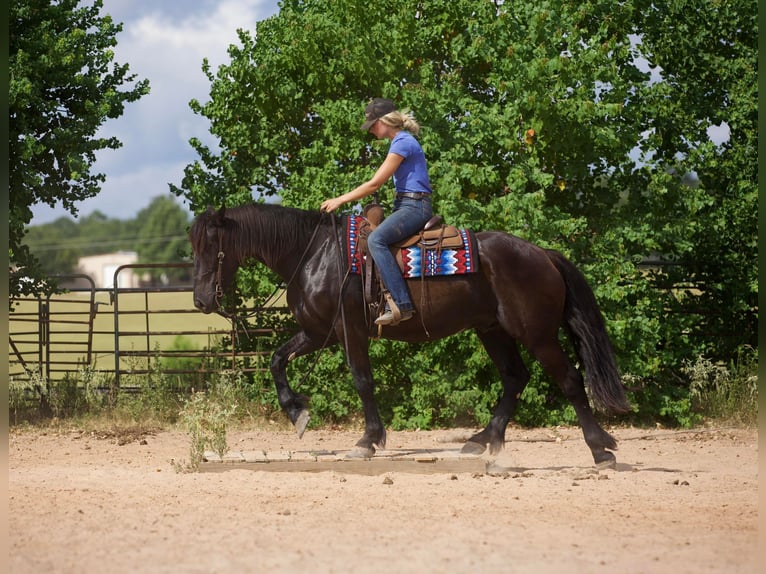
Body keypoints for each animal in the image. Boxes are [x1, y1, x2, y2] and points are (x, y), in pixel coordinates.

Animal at [192, 202, 632, 468]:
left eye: (211, 246)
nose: (200, 299)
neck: (314, 254)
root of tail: (543, 254)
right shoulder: (319, 332)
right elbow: (277, 359)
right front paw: (297, 412)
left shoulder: (349, 331)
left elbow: (362, 380)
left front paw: (368, 440)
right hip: (492, 330)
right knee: (514, 378)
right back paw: (482, 439)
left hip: (537, 334)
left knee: (569, 380)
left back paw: (600, 449)